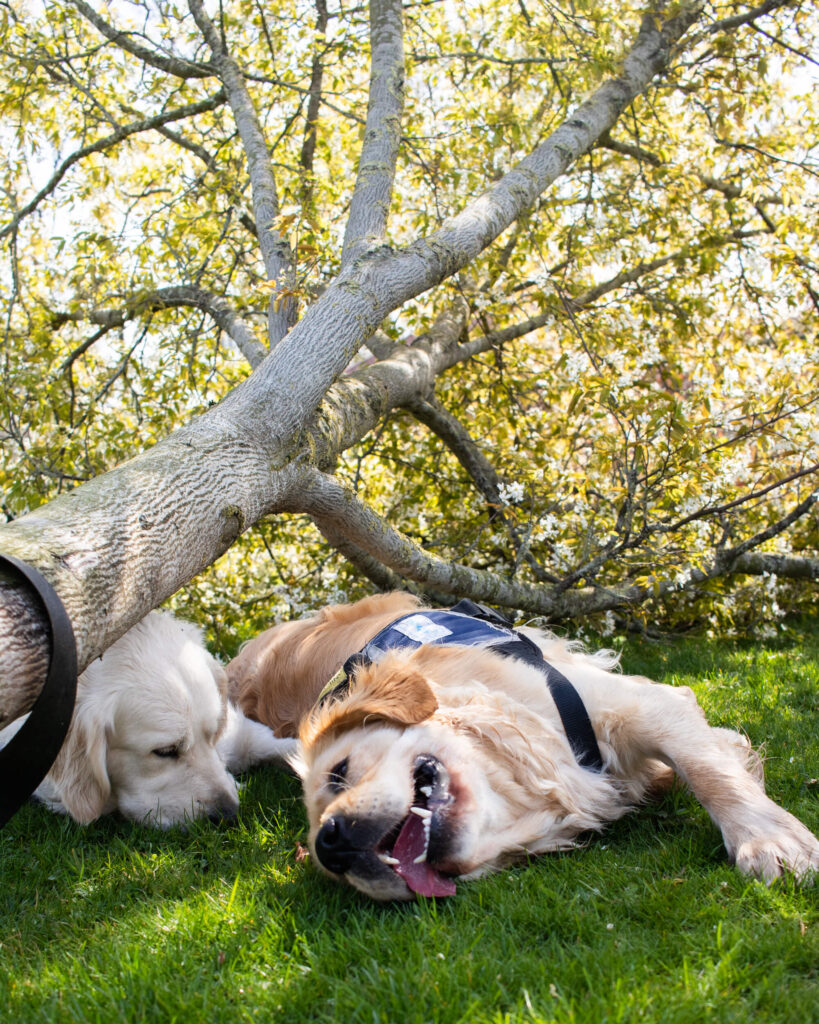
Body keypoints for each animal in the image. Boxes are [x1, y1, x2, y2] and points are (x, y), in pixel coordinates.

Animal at [227, 589, 818, 901]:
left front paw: (771, 840)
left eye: (339, 771)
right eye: (330, 873)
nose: (330, 845)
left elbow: (706, 766)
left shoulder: (638, 705)